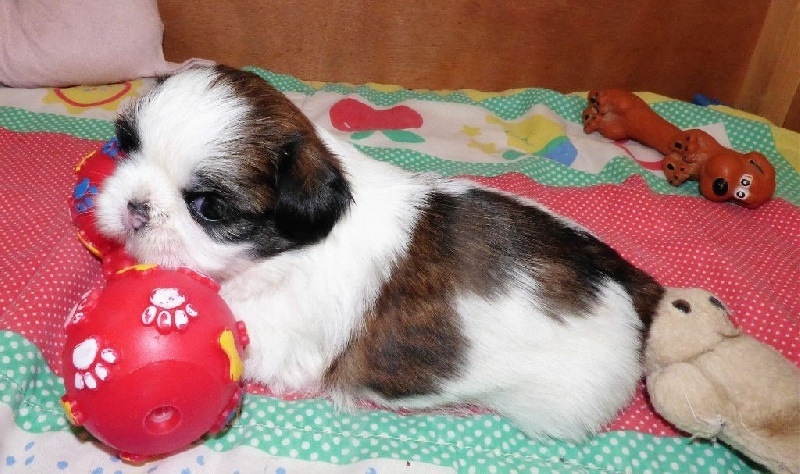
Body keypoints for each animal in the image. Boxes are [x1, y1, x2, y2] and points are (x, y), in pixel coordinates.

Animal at [95, 65, 664, 440]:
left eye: (208, 207)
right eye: (126, 145)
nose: (136, 207)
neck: (289, 249)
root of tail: (626, 286)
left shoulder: (287, 334)